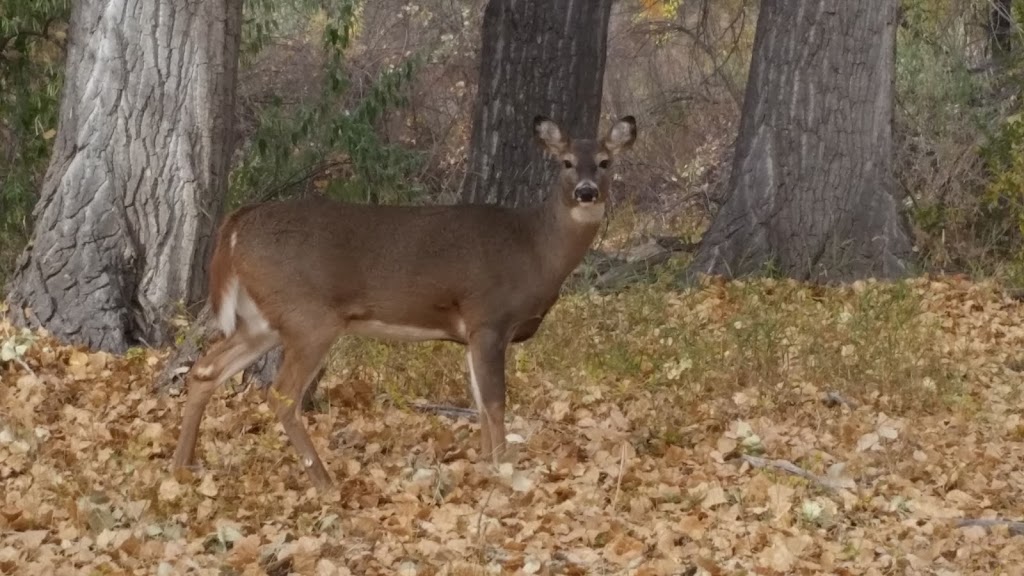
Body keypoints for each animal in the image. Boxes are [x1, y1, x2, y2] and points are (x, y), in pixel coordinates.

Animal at [171, 112, 634, 487]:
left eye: (606, 162)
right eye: (566, 162)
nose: (587, 192)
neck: (534, 249)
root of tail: (236, 224)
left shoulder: (473, 333)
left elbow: (480, 404)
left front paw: (485, 466)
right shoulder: (488, 317)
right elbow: (496, 403)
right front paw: (505, 472)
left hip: (262, 319)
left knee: (205, 369)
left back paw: (182, 465)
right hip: (310, 317)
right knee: (281, 395)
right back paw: (325, 483)